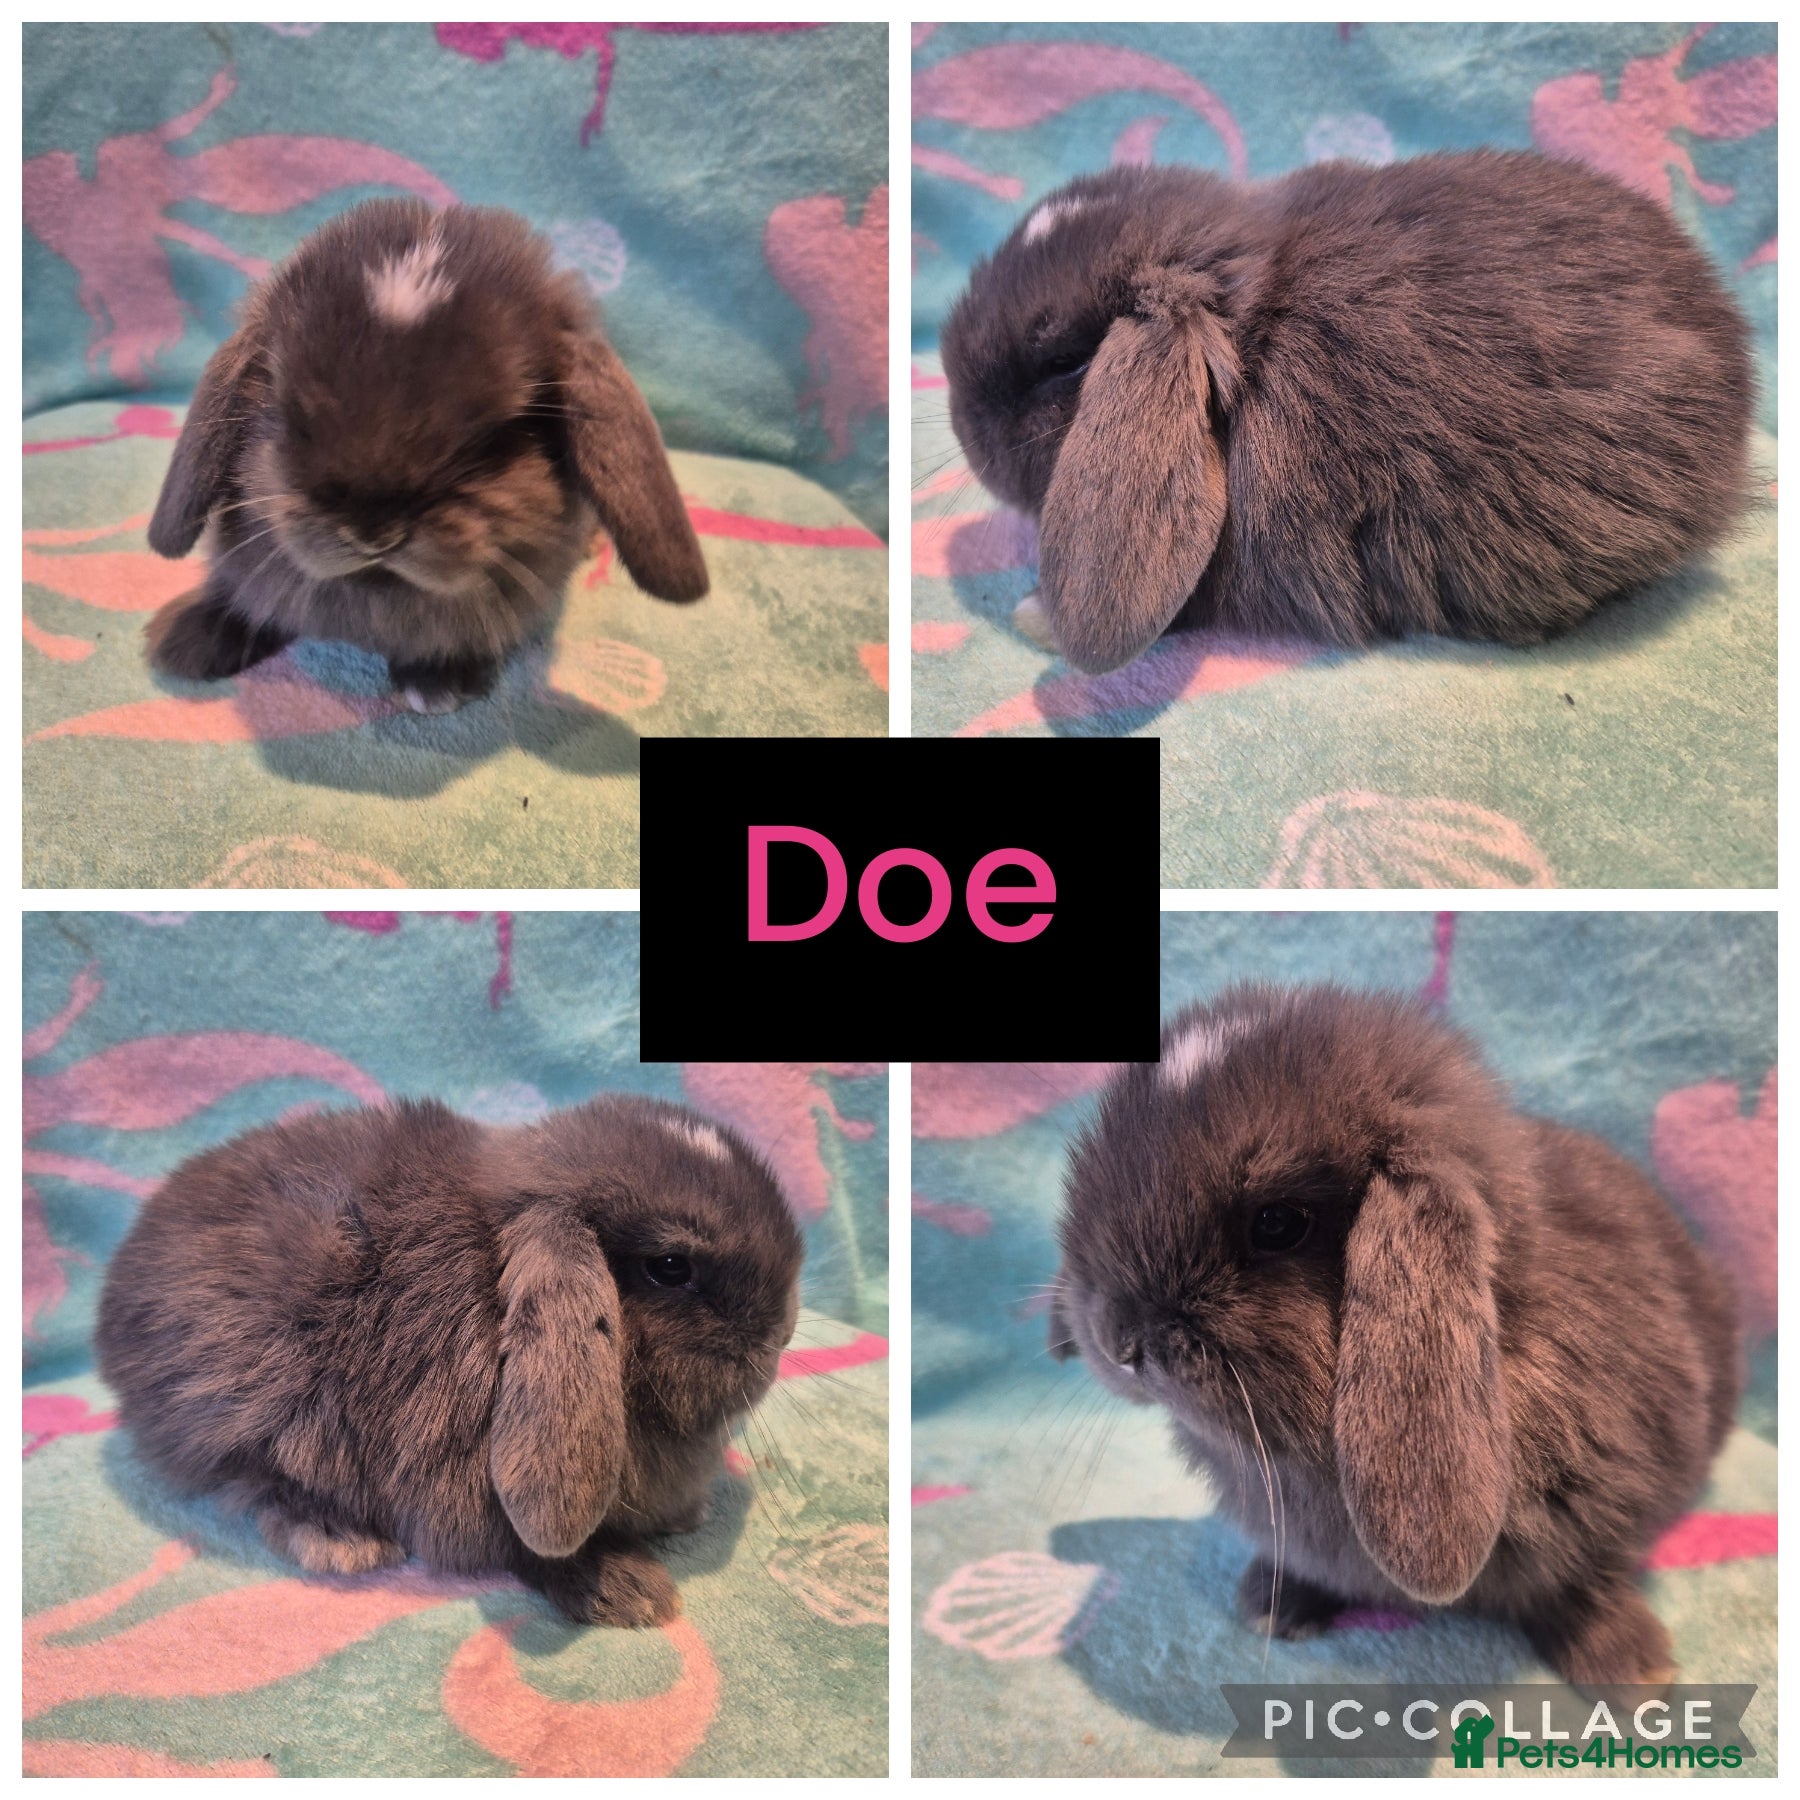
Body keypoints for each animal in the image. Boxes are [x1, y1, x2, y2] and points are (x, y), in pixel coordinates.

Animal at [95, 1094, 802, 1627]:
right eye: (671, 1267)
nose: (784, 1332)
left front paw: (687, 1518)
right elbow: (533, 1555)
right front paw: (630, 1591)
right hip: (253, 1403)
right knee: (257, 1478)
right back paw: (342, 1541)